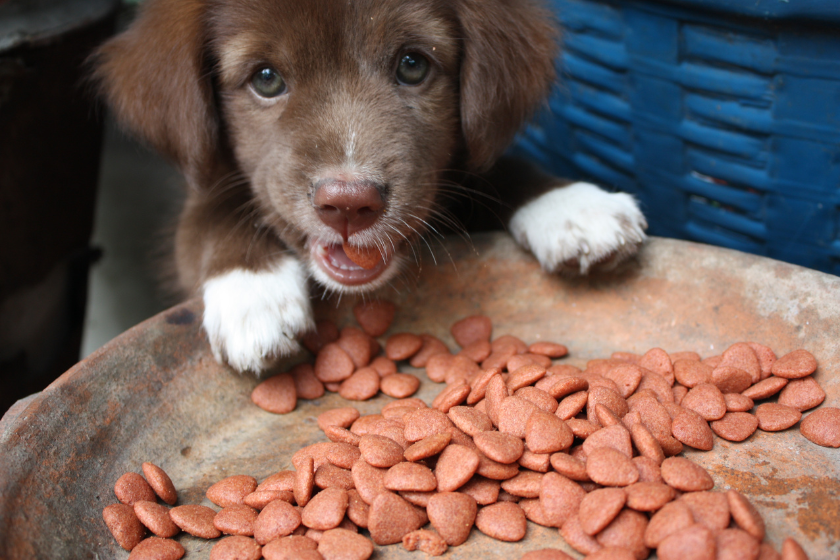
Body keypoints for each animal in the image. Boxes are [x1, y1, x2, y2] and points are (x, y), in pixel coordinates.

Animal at [90, 0, 644, 372]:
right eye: (265, 78)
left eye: (413, 64)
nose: (348, 205)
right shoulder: (204, 186)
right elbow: (209, 214)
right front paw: (252, 295)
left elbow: (493, 169)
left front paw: (574, 207)